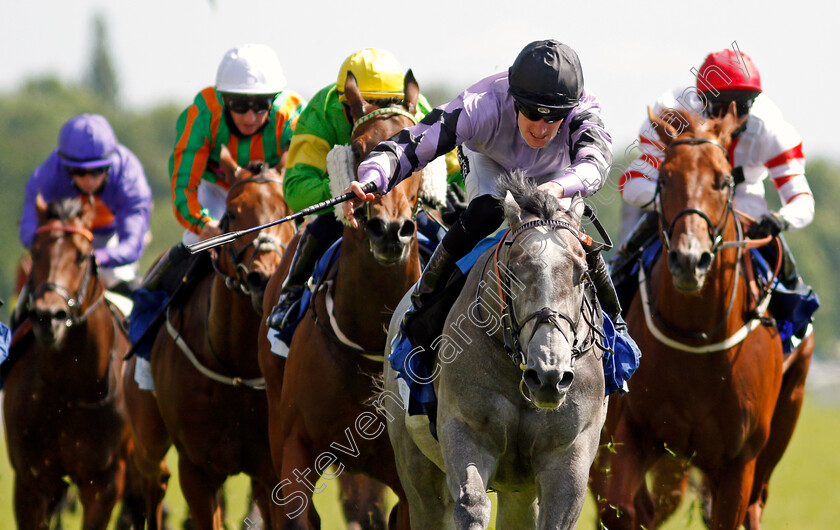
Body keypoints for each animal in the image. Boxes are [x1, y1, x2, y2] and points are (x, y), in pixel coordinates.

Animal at [2, 195, 133, 528]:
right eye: (36, 250)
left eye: (82, 256)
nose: (49, 316)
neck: (71, 388)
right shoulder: (31, 480)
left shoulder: (104, 482)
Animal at [123, 145, 296, 528]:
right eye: (231, 215)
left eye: (288, 212)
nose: (263, 277)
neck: (236, 364)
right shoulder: (196, 471)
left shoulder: (269, 469)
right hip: (147, 440)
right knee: (154, 485)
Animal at [258, 71, 436, 528]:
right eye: (358, 148)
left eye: (421, 157)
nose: (389, 231)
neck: (368, 335)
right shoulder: (295, 449)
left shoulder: (410, 479)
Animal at [380, 175, 612, 524]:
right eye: (514, 270)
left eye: (583, 274)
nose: (549, 375)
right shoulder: (465, 431)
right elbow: (472, 504)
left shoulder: (568, 459)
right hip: (417, 470)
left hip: (519, 490)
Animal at [592, 105, 812, 524]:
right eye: (665, 177)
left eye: (723, 181)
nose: (689, 260)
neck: (697, 338)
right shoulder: (631, 433)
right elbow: (621, 509)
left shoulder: (738, 463)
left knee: (754, 505)